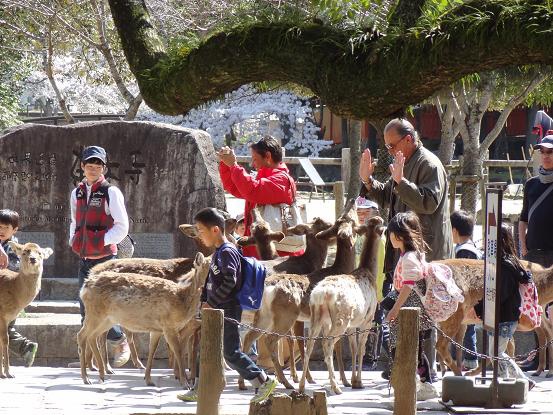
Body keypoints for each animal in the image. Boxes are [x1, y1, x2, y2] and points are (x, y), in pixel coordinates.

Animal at [0, 242, 52, 378]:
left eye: (39, 253)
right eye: (24, 252)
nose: (32, 259)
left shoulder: (8, 318)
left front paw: (6, 373)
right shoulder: (2, 315)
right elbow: (5, 340)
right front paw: (7, 373)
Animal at [80, 252, 211, 386]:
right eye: (209, 267)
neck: (181, 299)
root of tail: (84, 287)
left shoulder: (157, 329)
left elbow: (152, 351)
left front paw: (148, 379)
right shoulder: (168, 326)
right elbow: (178, 351)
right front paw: (185, 383)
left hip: (107, 319)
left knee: (92, 337)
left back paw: (101, 374)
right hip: (95, 314)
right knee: (82, 335)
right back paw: (87, 378)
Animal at [298, 216, 384, 394]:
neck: (368, 272)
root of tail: (322, 294)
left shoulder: (353, 324)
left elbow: (353, 348)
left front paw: (353, 380)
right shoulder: (368, 319)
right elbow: (361, 348)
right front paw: (358, 382)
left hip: (316, 317)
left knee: (309, 345)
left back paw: (302, 386)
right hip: (341, 319)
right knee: (327, 343)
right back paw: (335, 387)